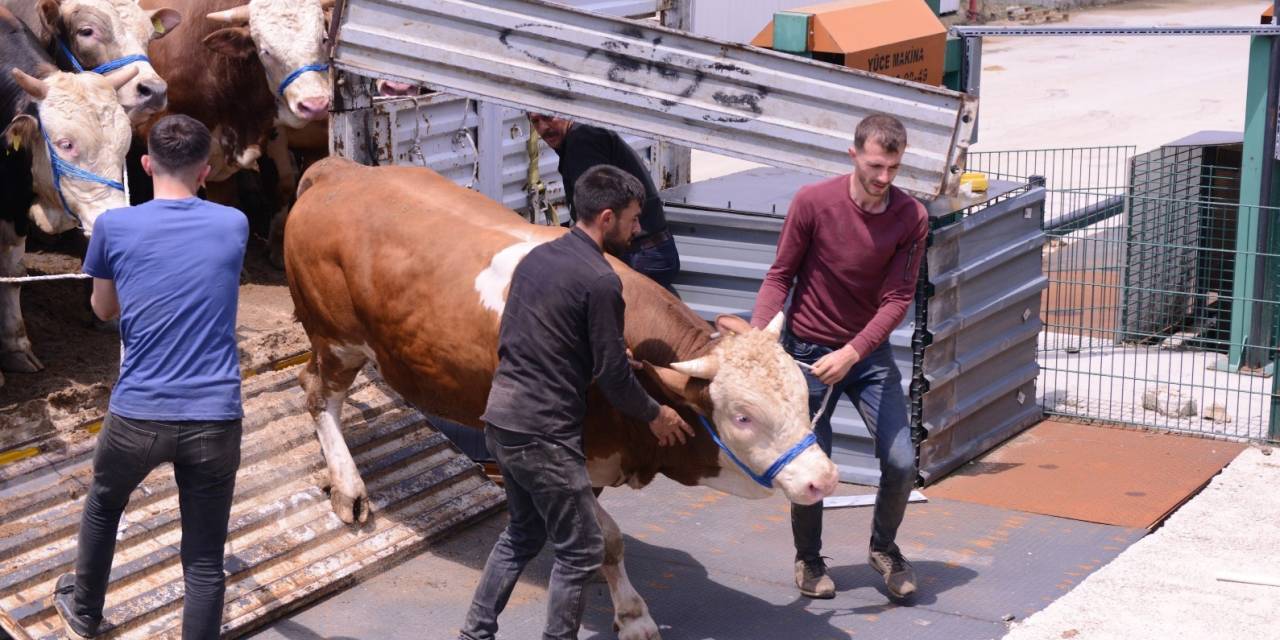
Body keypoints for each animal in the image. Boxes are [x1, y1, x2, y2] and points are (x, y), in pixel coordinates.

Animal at [284, 156, 834, 640]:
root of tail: (340, 172)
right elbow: (607, 540)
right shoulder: (570, 456)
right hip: (336, 339)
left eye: (802, 396)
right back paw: (348, 488)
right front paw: (633, 615)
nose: (823, 478)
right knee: (317, 395)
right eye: (742, 417)